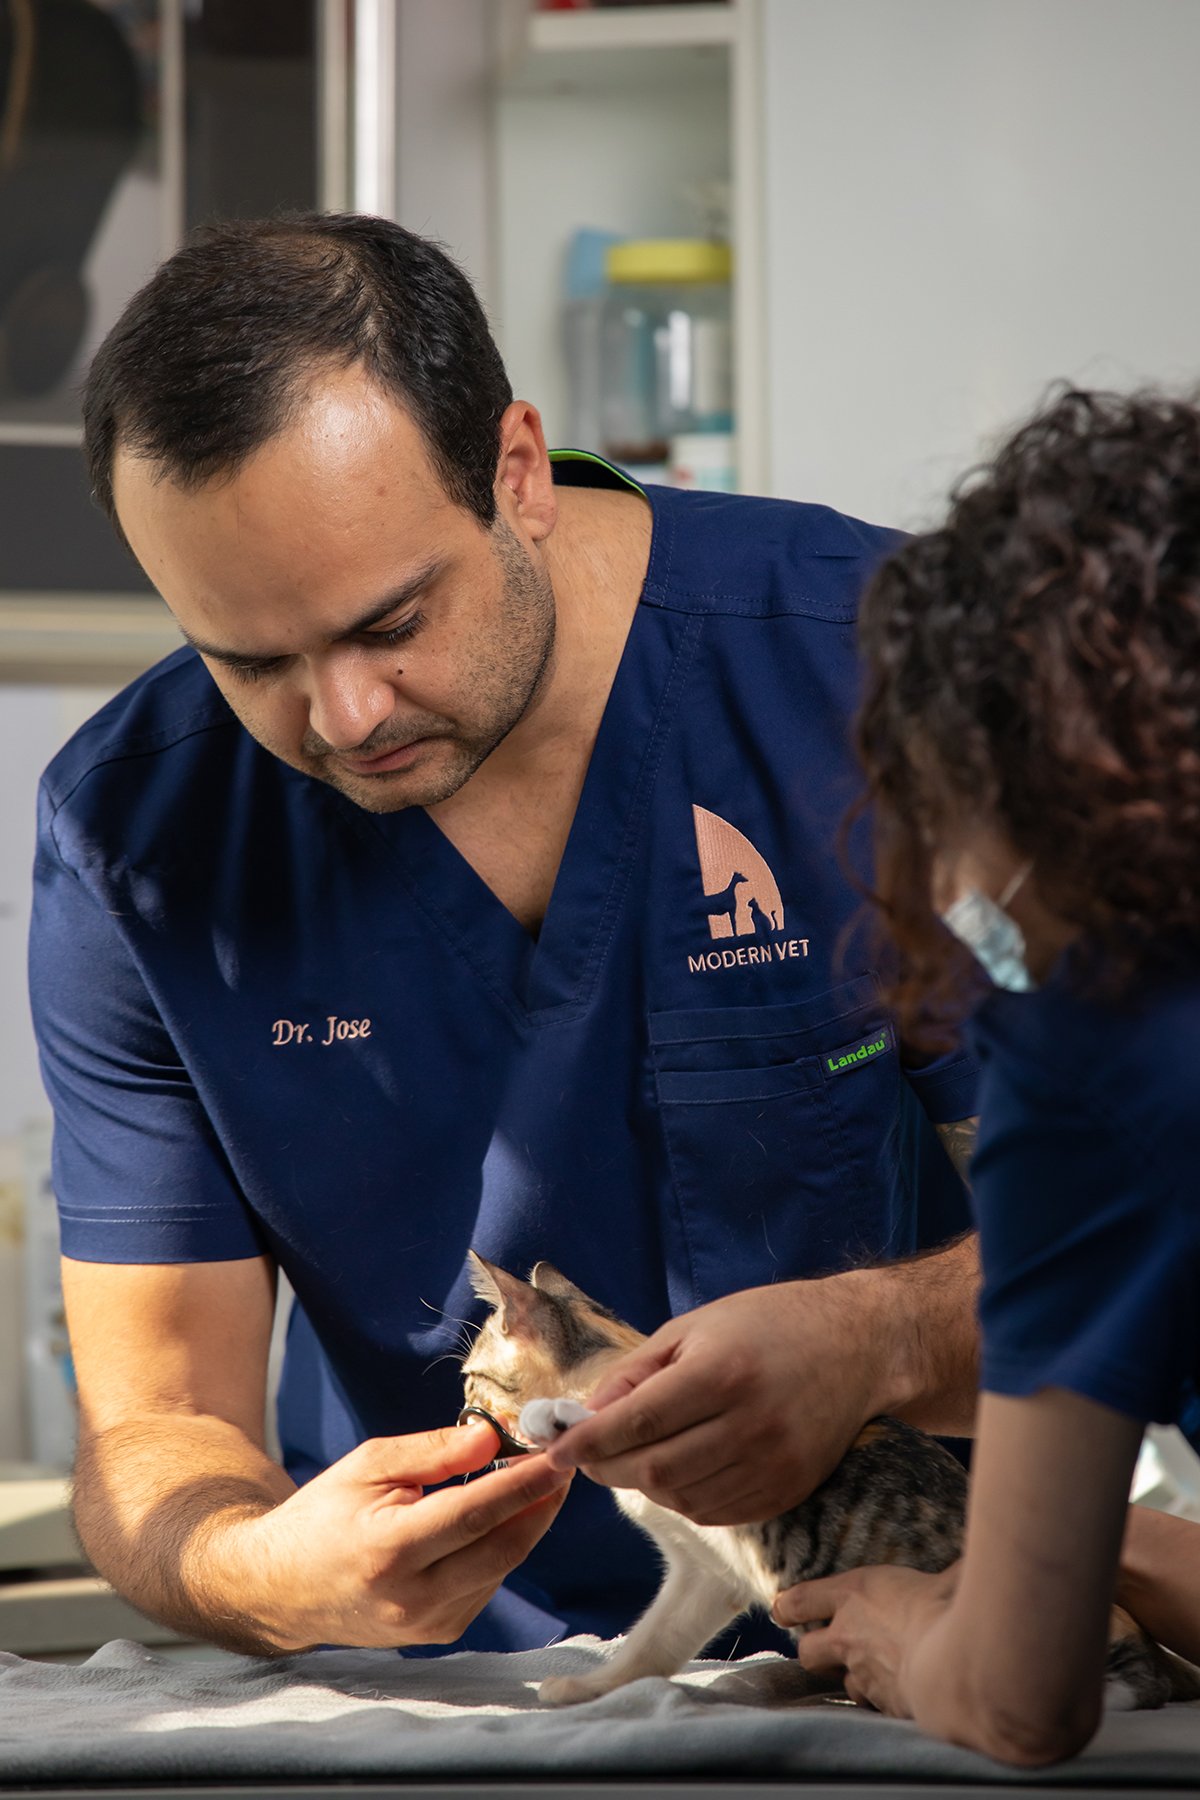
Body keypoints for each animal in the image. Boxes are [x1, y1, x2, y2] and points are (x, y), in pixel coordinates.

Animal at [461, 1252, 1196, 1711]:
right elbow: (654, 1640)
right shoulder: (707, 1571)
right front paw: (599, 1687)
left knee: (1136, 1683)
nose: (461, 1410)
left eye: (471, 1376)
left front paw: (558, 1416)